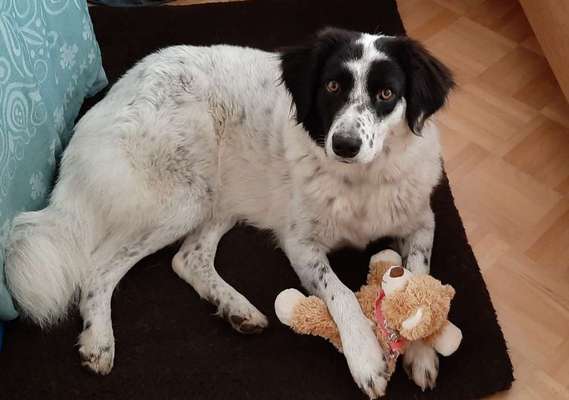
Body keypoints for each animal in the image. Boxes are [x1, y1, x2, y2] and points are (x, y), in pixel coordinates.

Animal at [5, 27, 452, 396]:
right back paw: (98, 341)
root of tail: (112, 95)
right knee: (98, 268)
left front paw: (422, 353)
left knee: (187, 259)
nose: (343, 145)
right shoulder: (301, 243)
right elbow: (340, 293)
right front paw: (366, 358)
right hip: (184, 196)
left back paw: (237, 309)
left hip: (217, 196)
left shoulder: (422, 222)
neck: (360, 180)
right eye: (332, 86)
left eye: (386, 94)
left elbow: (418, 276)